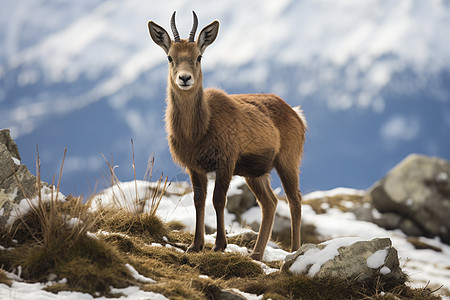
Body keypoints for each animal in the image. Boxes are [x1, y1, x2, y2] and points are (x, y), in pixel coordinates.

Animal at [148, 11, 306, 260]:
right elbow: (199, 200)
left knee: (295, 200)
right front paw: (195, 245)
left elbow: (218, 199)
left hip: (288, 158)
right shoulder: (194, 165)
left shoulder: (226, 159)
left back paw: (294, 250)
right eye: (170, 58)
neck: (197, 135)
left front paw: (219, 244)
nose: (185, 78)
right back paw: (256, 253)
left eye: (199, 57)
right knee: (270, 202)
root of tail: (299, 116)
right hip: (255, 171)